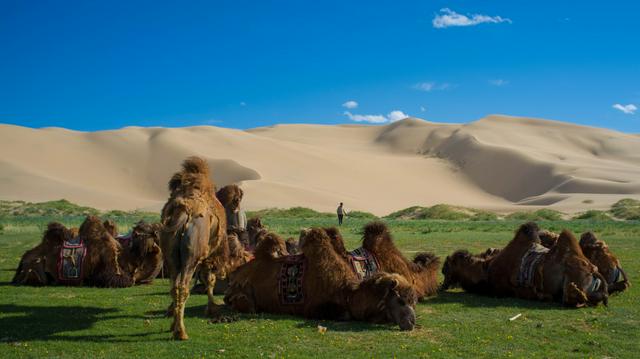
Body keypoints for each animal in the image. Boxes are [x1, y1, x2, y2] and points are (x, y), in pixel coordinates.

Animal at [159, 157, 228, 340]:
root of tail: (184, 213)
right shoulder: (209, 255)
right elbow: (209, 279)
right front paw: (212, 308)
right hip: (192, 255)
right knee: (183, 287)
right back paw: (181, 332)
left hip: (170, 256)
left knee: (174, 286)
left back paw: (175, 326)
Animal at [226, 228, 420, 332]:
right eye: (401, 301)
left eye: (414, 301)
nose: (412, 322)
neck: (348, 293)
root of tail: (235, 275)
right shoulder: (313, 307)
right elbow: (345, 315)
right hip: (243, 295)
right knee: (247, 305)